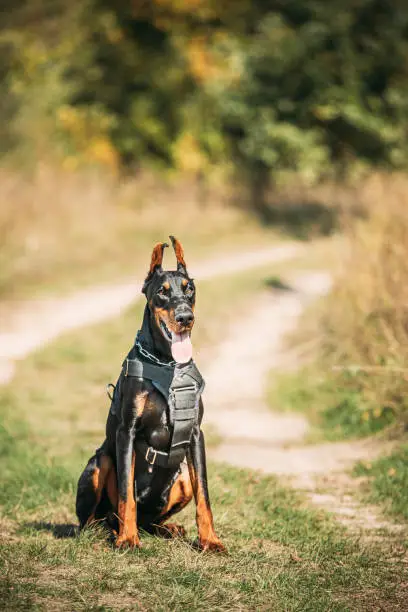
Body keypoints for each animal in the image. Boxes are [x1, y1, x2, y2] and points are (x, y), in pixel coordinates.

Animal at [75, 237, 225, 552]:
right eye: (162, 292)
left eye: (189, 288)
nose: (185, 317)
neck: (167, 364)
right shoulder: (127, 431)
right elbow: (126, 494)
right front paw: (127, 539)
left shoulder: (196, 434)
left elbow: (204, 495)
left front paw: (210, 540)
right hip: (99, 463)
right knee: (95, 519)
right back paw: (112, 531)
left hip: (182, 480)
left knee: (151, 519)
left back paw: (168, 529)